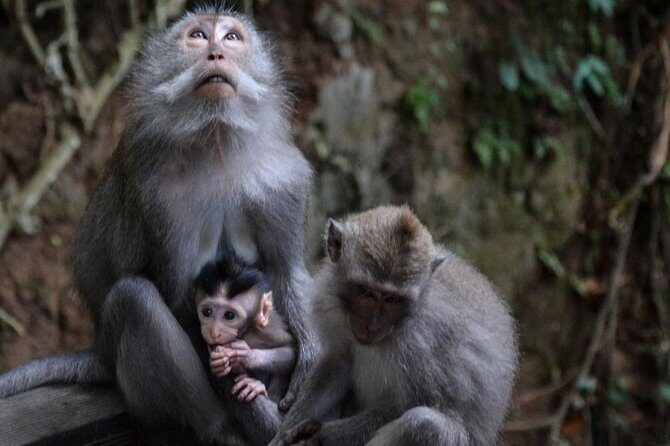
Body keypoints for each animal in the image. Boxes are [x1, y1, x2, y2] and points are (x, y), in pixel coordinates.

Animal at [194, 261, 296, 404]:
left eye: (229, 315)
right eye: (207, 312)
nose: (214, 332)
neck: (246, 331)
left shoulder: (269, 329)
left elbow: (291, 350)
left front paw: (247, 355)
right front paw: (216, 363)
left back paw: (257, 387)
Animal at [269, 206, 518, 446]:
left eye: (393, 299)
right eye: (367, 293)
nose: (372, 325)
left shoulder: (423, 343)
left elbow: (407, 406)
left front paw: (319, 434)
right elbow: (338, 365)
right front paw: (283, 434)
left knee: (426, 425)